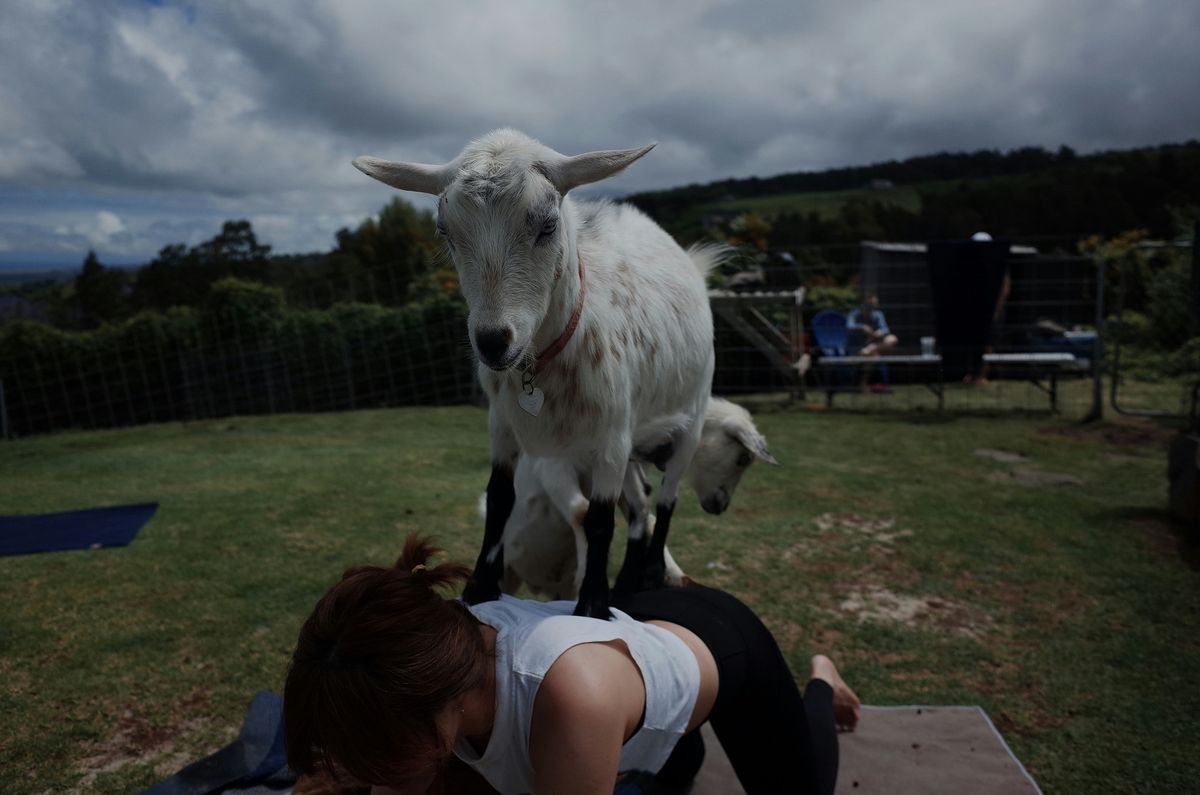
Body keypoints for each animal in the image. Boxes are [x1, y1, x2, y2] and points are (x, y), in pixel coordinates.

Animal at [352, 129, 710, 624]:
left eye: (547, 225)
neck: (540, 369)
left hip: (690, 415)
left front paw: (593, 605)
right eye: (445, 231)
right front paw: (480, 588)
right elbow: (500, 499)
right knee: (639, 501)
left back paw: (652, 572)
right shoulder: (502, 424)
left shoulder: (612, 434)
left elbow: (599, 519)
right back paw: (628, 580)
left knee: (667, 496)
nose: (492, 342)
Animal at [499, 396, 772, 600]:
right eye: (743, 458)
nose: (721, 505)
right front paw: (589, 576)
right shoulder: (554, 467)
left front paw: (674, 577)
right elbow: (582, 512)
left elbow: (644, 516)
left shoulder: (622, 483)